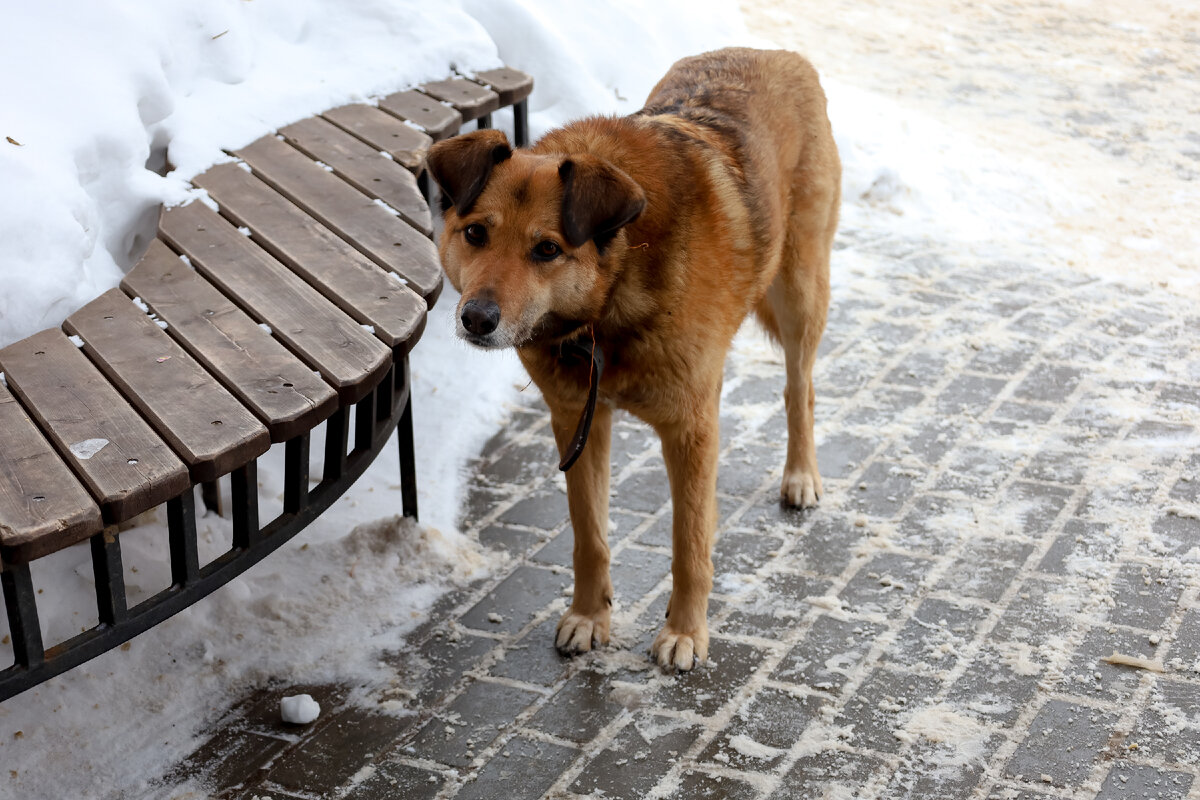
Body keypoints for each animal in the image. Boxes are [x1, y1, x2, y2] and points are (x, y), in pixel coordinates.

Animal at [427, 45, 840, 671]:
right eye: (475, 233)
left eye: (547, 249)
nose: (476, 319)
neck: (611, 295)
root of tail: (776, 53)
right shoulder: (577, 421)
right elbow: (589, 536)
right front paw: (588, 617)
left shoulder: (691, 430)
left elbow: (689, 543)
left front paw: (685, 633)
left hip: (799, 291)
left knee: (801, 389)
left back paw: (801, 476)